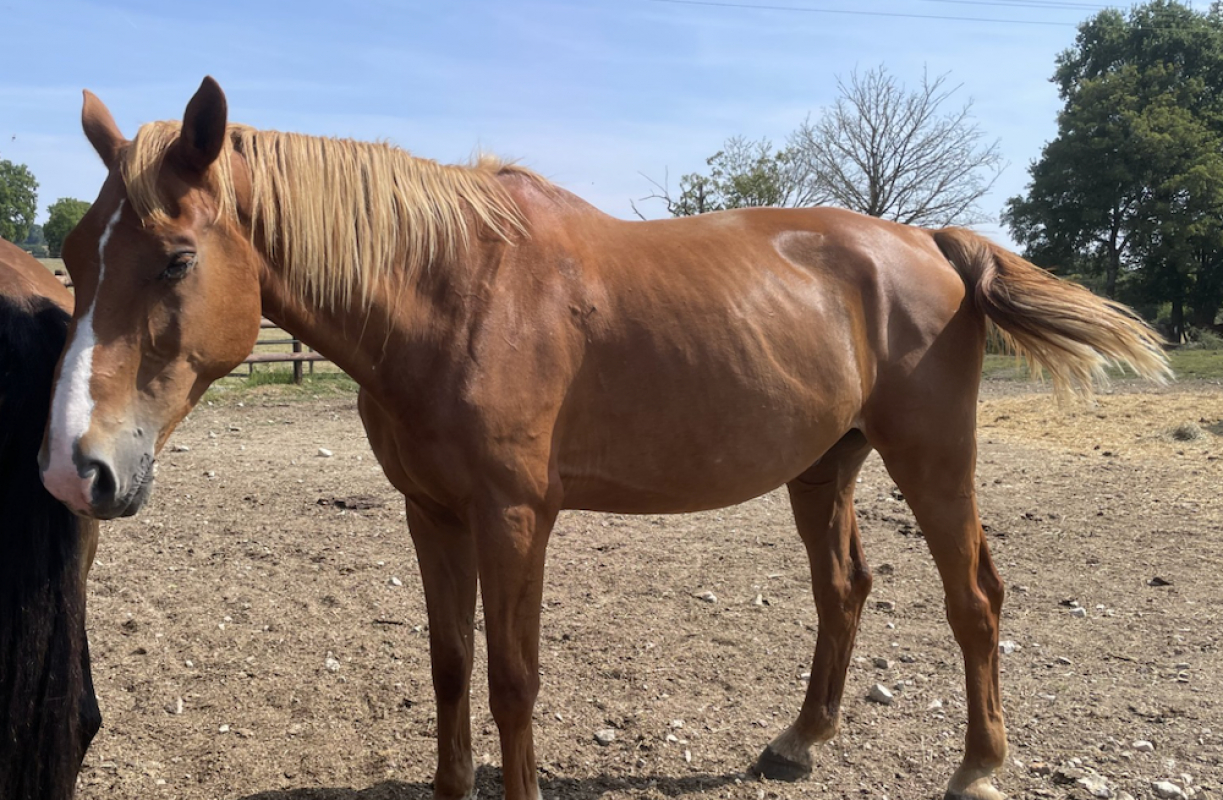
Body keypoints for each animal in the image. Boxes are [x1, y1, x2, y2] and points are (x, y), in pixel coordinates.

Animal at [39, 77, 1169, 800]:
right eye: (74, 254)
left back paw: (976, 766)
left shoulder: (513, 517)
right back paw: (798, 741)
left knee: (972, 598)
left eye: (175, 258)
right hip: (823, 465)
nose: (74, 467)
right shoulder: (431, 513)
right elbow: (450, 664)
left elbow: (511, 678)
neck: (453, 292)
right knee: (843, 589)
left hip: (931, 458)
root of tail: (928, 242)